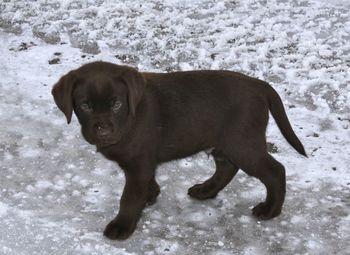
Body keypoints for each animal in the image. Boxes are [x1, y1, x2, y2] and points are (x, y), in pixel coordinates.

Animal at [52, 60, 306, 240]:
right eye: (85, 106)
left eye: (116, 104)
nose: (103, 131)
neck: (128, 120)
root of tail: (259, 84)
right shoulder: (144, 163)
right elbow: (147, 183)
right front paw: (150, 195)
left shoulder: (139, 163)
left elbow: (129, 197)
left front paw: (122, 225)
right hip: (225, 142)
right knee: (227, 167)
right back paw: (206, 190)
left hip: (244, 144)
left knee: (275, 171)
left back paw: (270, 210)